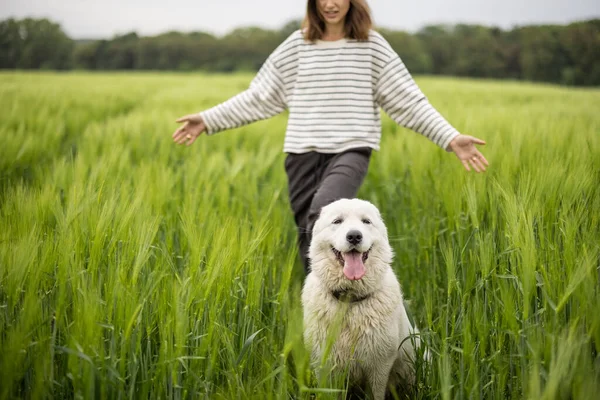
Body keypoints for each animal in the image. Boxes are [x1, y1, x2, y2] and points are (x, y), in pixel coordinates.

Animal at [302, 198, 420, 398]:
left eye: (366, 221)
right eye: (337, 221)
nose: (354, 236)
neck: (349, 301)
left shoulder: (379, 367)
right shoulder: (324, 365)